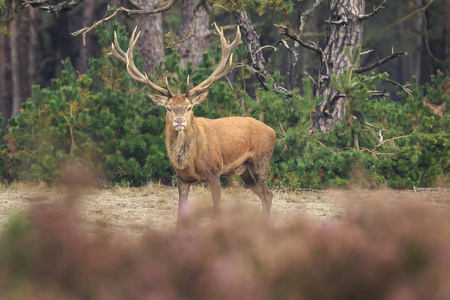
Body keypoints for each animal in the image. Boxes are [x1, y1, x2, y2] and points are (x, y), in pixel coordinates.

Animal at [110, 24, 276, 224]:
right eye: (169, 108)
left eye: (189, 107)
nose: (179, 121)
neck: (190, 162)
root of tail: (272, 131)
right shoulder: (182, 178)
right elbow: (180, 212)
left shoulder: (214, 172)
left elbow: (217, 210)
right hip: (245, 171)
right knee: (265, 194)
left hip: (261, 160)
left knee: (268, 194)